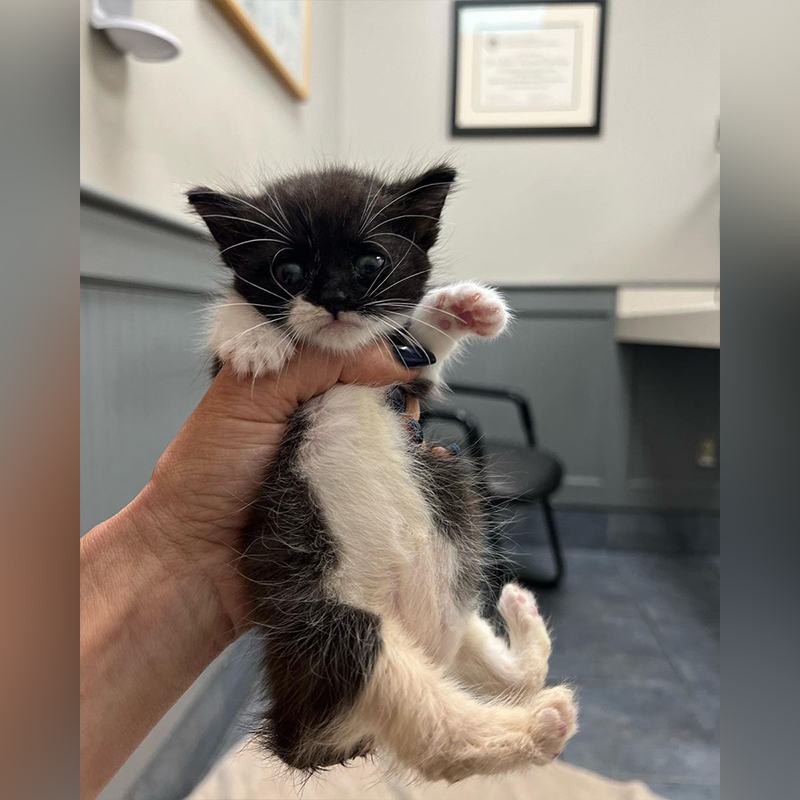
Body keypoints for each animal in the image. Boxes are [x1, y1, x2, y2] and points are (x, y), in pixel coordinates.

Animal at [188, 162, 576, 780]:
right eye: (288, 269)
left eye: (371, 262)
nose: (335, 299)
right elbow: (233, 338)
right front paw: (252, 336)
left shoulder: (403, 381)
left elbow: (417, 353)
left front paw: (460, 308)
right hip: (332, 629)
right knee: (438, 731)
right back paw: (540, 725)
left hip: (450, 569)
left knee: (495, 677)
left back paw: (519, 622)